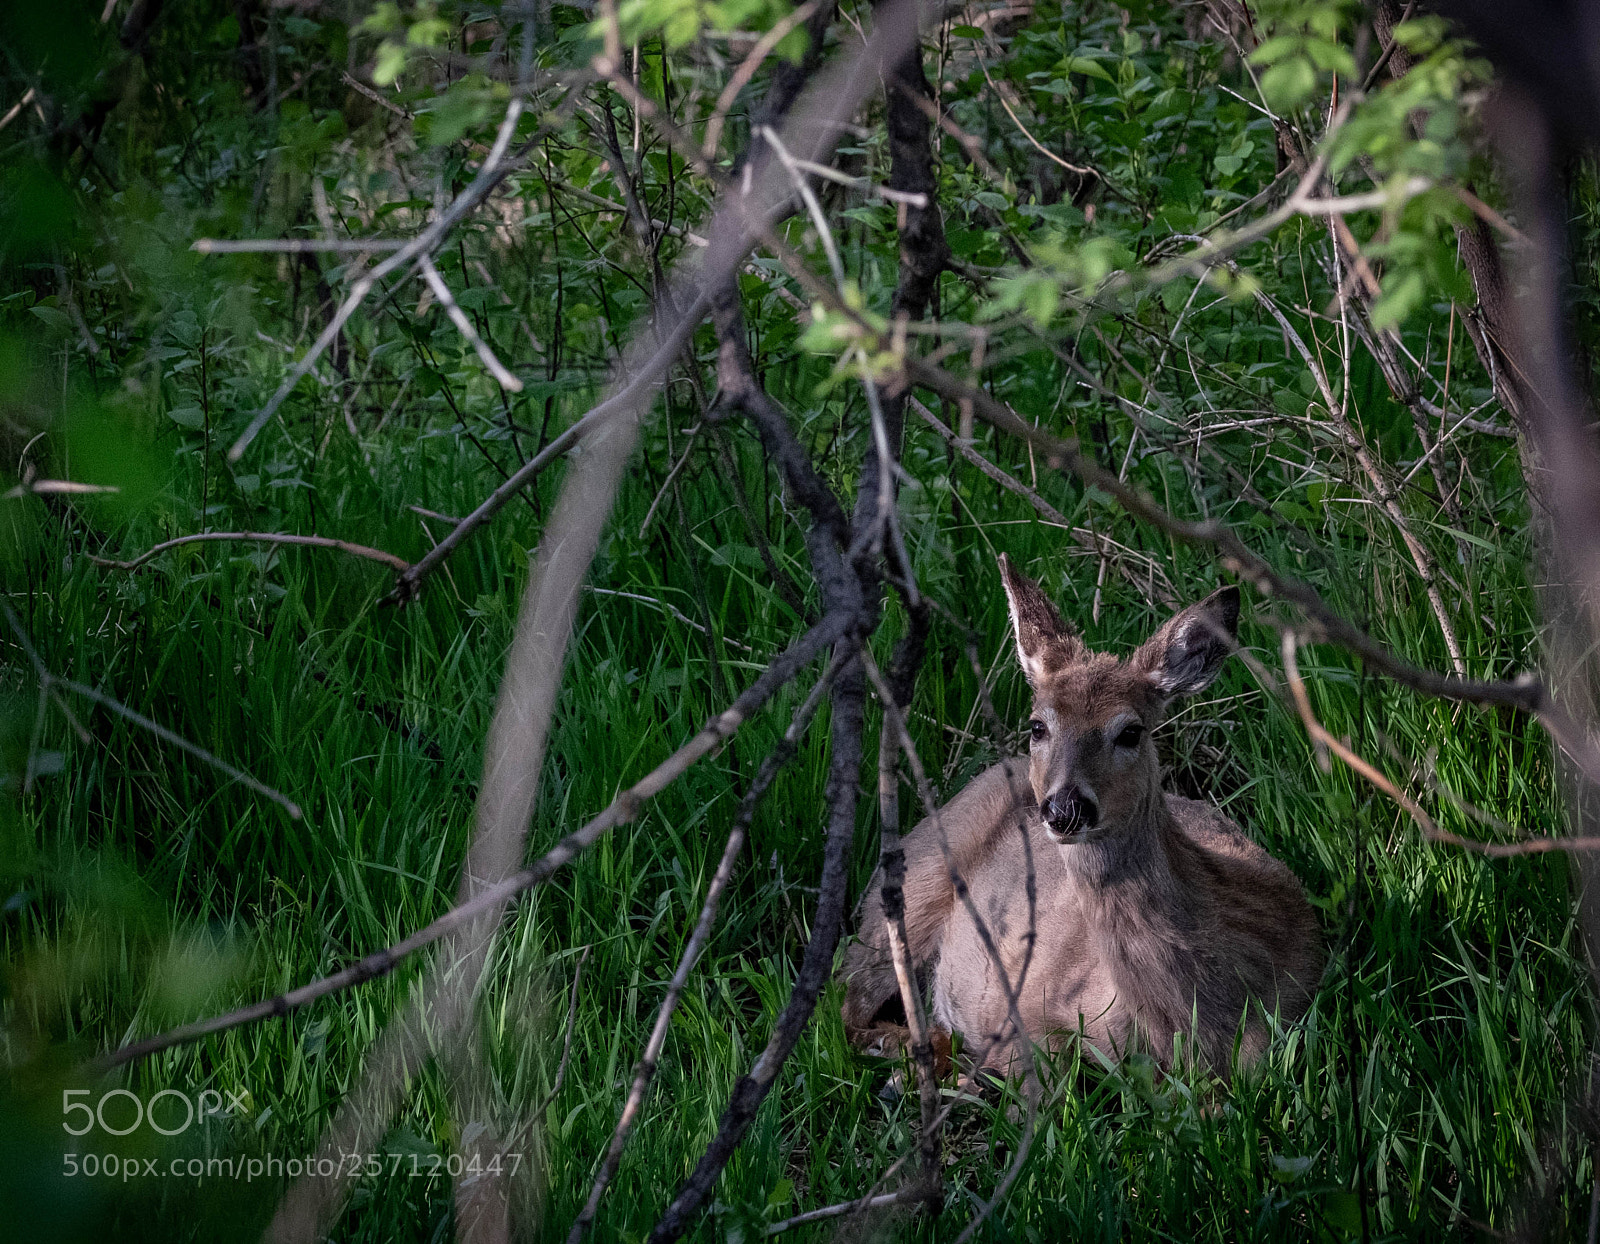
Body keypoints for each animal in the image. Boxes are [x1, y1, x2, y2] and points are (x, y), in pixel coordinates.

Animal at [841, 554, 1323, 1077]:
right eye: (1038, 726)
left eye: (1130, 731)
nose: (1064, 808)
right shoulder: (1019, 1014)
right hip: (908, 891)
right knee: (844, 1002)